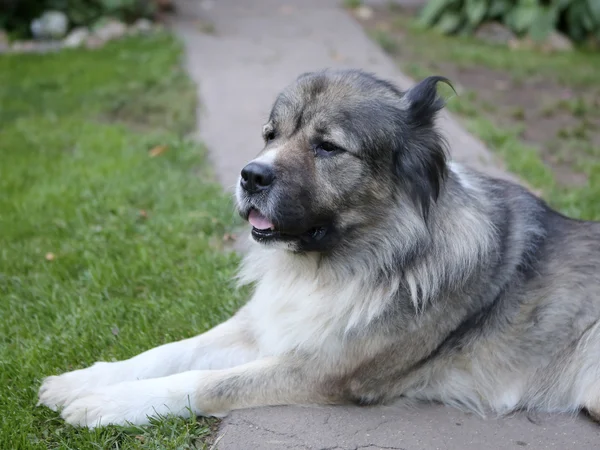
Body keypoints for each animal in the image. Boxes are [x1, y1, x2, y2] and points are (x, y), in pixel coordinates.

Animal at [37, 68, 600, 428]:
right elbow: (171, 351)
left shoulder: (321, 370)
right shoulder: (261, 326)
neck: (338, 263)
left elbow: (208, 381)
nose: (250, 175)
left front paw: (108, 404)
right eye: (270, 134)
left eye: (328, 147)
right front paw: (83, 380)